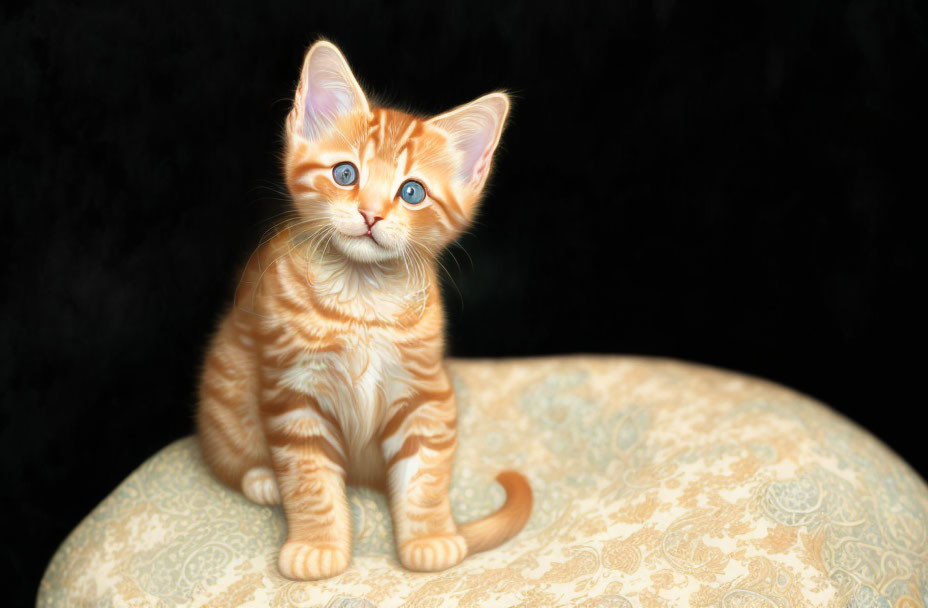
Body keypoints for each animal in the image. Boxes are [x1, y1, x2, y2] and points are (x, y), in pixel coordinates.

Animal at [193, 40, 532, 580]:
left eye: (412, 191)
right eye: (345, 174)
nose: (370, 214)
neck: (363, 301)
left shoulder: (426, 392)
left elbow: (425, 472)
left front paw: (430, 538)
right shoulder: (294, 393)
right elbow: (309, 478)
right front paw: (317, 545)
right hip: (225, 386)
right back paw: (263, 478)